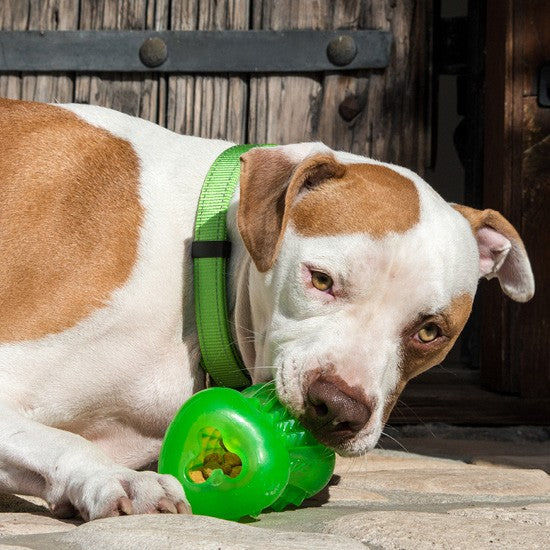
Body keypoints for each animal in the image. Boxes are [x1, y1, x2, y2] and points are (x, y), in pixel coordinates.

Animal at [0, 98, 536, 520]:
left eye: (429, 332)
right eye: (321, 280)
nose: (337, 407)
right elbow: (66, 439)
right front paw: (119, 479)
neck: (203, 262)